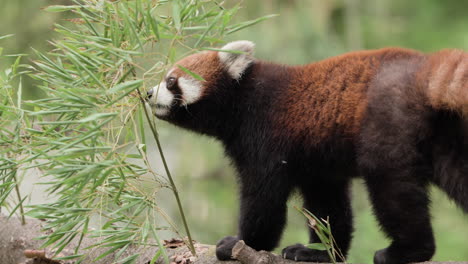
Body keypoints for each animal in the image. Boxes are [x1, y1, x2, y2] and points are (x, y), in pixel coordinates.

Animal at [146, 40, 468, 264]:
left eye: (171, 80)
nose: (148, 93)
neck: (242, 99)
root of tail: (422, 66)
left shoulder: (265, 136)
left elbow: (264, 199)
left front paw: (243, 243)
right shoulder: (317, 165)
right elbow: (328, 207)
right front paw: (321, 251)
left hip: (386, 123)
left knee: (392, 188)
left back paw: (409, 250)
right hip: (443, 136)